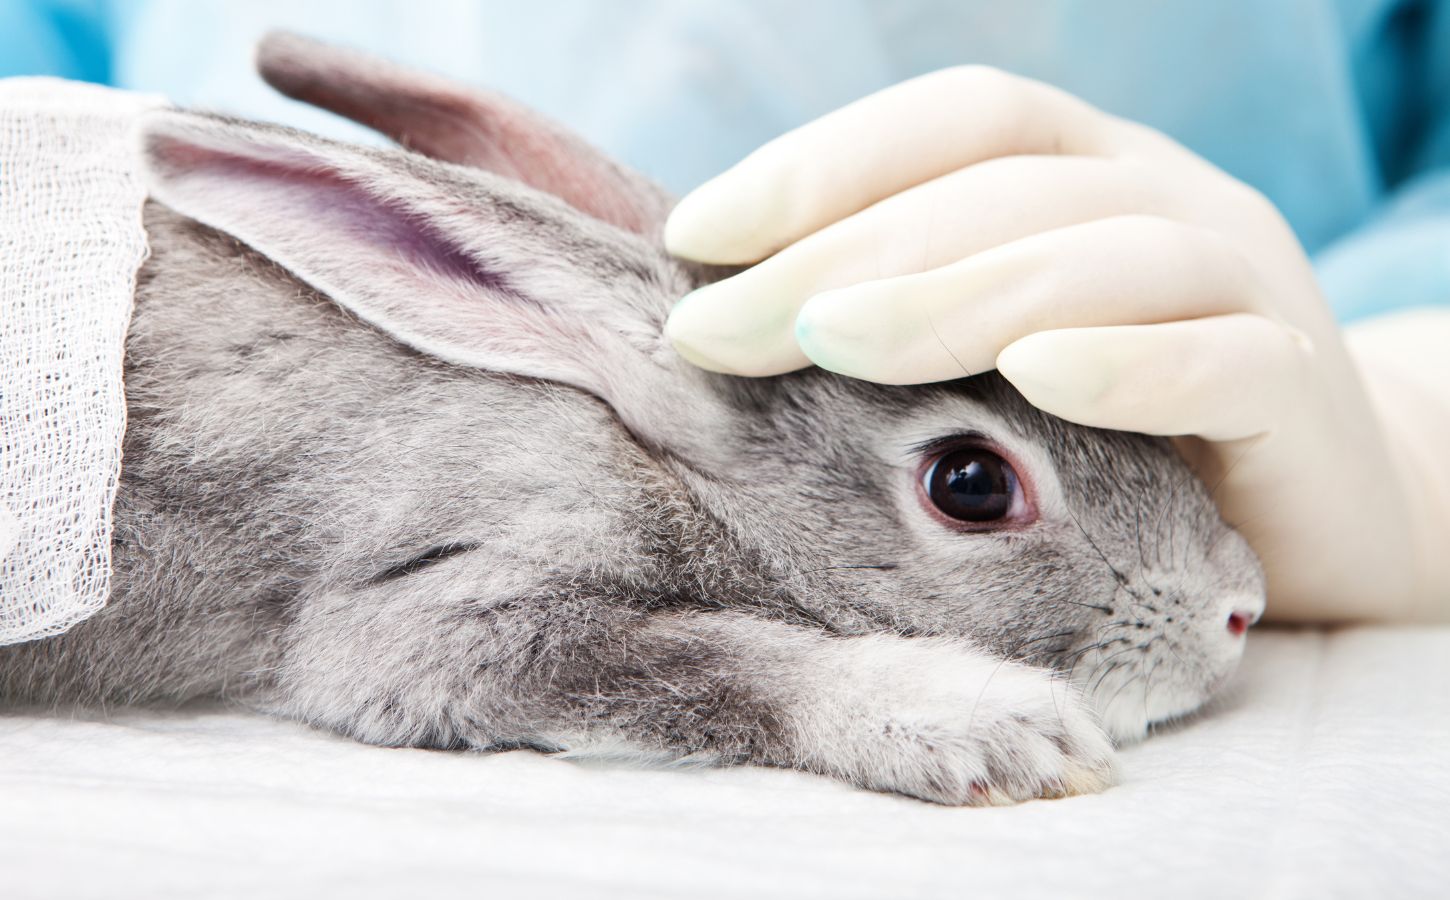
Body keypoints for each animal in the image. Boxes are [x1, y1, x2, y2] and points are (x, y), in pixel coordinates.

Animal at [0, 36, 1258, 805]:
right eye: (971, 484)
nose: (1240, 610)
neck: (652, 455)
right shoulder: (447, 605)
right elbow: (726, 663)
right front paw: (995, 728)